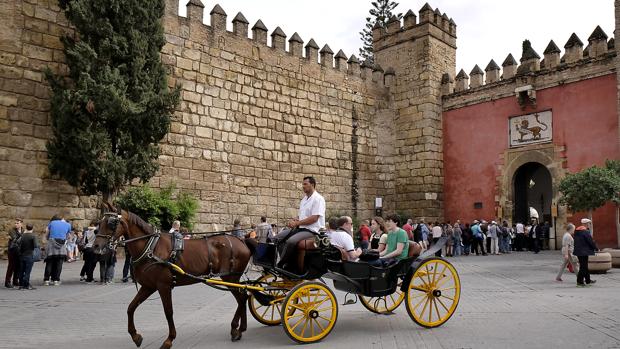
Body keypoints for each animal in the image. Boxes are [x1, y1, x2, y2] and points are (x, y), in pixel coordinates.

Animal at [93, 203, 253, 346]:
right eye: (99, 223)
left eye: (112, 223)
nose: (95, 246)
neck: (151, 247)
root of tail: (242, 241)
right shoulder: (148, 286)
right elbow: (131, 307)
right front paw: (135, 336)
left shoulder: (163, 286)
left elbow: (168, 311)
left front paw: (169, 339)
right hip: (232, 278)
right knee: (244, 297)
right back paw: (239, 329)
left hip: (230, 277)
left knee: (242, 298)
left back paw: (236, 328)